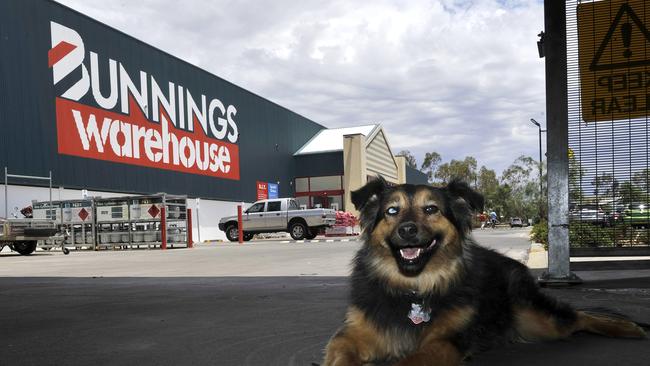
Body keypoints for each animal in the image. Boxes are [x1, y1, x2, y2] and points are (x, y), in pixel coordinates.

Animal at [322, 177, 644, 364]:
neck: (413, 287)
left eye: (431, 209)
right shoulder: (351, 334)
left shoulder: (446, 341)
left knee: (579, 316)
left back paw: (626, 327)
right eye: (392, 211)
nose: (407, 230)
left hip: (538, 319)